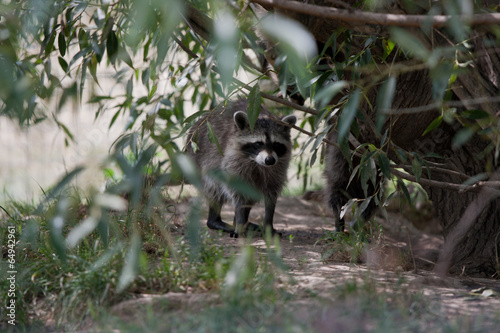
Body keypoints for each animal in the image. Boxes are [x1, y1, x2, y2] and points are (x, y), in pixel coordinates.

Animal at [188, 98, 296, 236]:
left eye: (276, 144)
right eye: (258, 144)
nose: (269, 160)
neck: (256, 162)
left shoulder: (279, 167)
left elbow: (271, 193)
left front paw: (268, 222)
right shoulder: (232, 161)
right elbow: (237, 192)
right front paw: (239, 222)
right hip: (199, 162)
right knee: (214, 188)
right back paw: (217, 221)